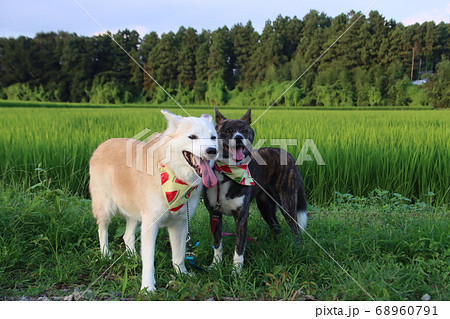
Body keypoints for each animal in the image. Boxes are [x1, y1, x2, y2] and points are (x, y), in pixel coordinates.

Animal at [89, 110, 218, 292]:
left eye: (213, 137)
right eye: (192, 137)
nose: (212, 150)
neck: (175, 174)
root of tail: (103, 144)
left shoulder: (180, 223)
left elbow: (179, 254)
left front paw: (181, 273)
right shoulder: (151, 224)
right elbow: (149, 261)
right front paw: (147, 287)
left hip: (134, 214)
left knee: (127, 236)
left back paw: (133, 257)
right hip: (105, 208)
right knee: (102, 231)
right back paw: (106, 254)